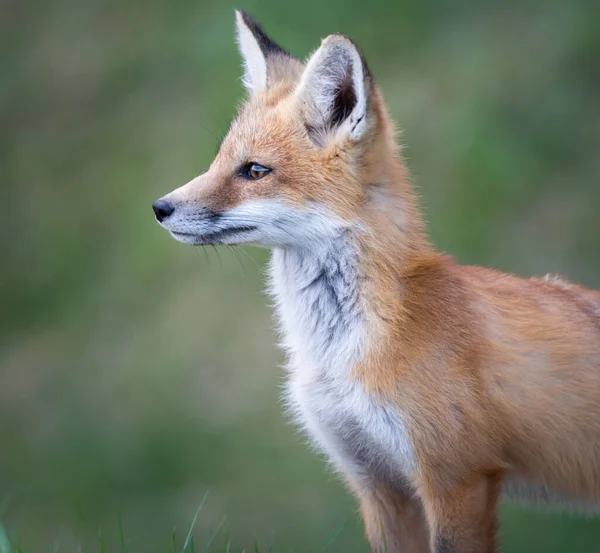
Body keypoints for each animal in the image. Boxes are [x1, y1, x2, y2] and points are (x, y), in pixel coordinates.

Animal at [152, 9, 600, 552]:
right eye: (218, 160)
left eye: (254, 171)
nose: (159, 208)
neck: (346, 353)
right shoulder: (375, 480)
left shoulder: (456, 478)